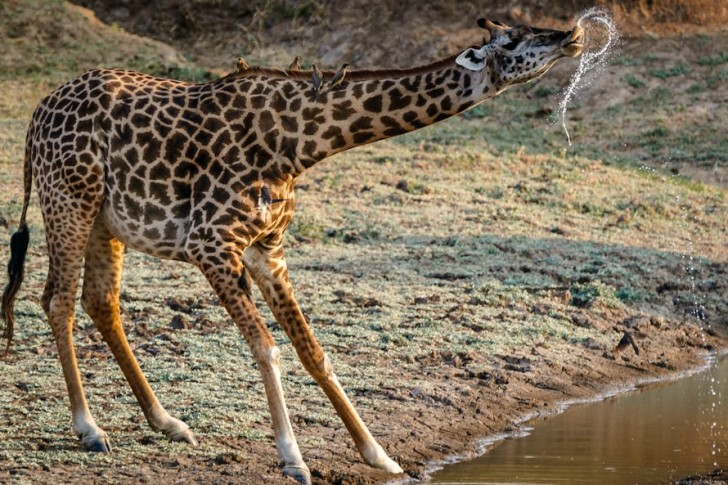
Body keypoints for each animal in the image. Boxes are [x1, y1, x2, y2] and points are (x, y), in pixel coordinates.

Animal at [1, 18, 584, 483]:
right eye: (514, 39)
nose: (572, 35)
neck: (298, 143)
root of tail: (35, 118)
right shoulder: (210, 243)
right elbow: (268, 347)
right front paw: (294, 460)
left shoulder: (267, 248)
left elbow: (313, 351)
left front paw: (379, 454)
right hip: (69, 200)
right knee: (58, 299)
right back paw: (90, 429)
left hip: (107, 220)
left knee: (101, 302)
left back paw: (168, 422)